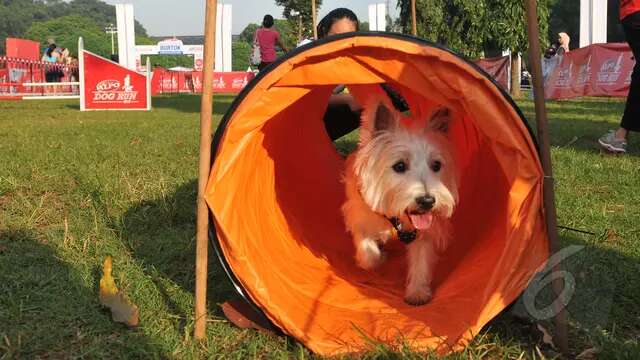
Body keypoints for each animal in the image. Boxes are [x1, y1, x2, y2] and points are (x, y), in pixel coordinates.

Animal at [342, 99, 458, 306]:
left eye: (436, 165)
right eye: (399, 166)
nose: (427, 200)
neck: (398, 219)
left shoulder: (424, 234)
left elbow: (421, 260)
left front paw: (417, 292)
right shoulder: (358, 214)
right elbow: (368, 253)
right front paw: (377, 259)